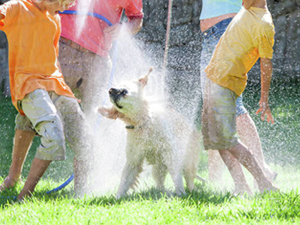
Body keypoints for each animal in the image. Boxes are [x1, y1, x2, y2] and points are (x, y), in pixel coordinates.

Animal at [99, 67, 203, 198]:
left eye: (124, 91)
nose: (110, 89)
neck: (143, 123)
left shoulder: (170, 154)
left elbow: (177, 177)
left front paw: (180, 194)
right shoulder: (133, 159)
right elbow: (124, 180)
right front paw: (117, 198)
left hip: (188, 159)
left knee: (189, 177)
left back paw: (191, 190)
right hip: (158, 168)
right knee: (160, 182)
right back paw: (162, 192)